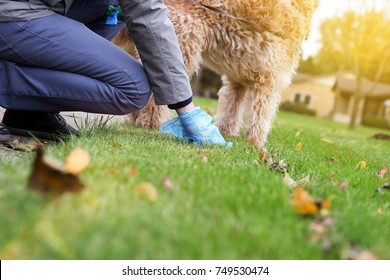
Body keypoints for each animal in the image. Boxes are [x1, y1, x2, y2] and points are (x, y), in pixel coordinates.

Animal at [112, 0, 316, 148]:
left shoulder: (239, 80)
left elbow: (232, 110)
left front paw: (228, 132)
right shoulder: (269, 81)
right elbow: (260, 116)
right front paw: (257, 143)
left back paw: (139, 119)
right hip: (181, 45)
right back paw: (150, 122)